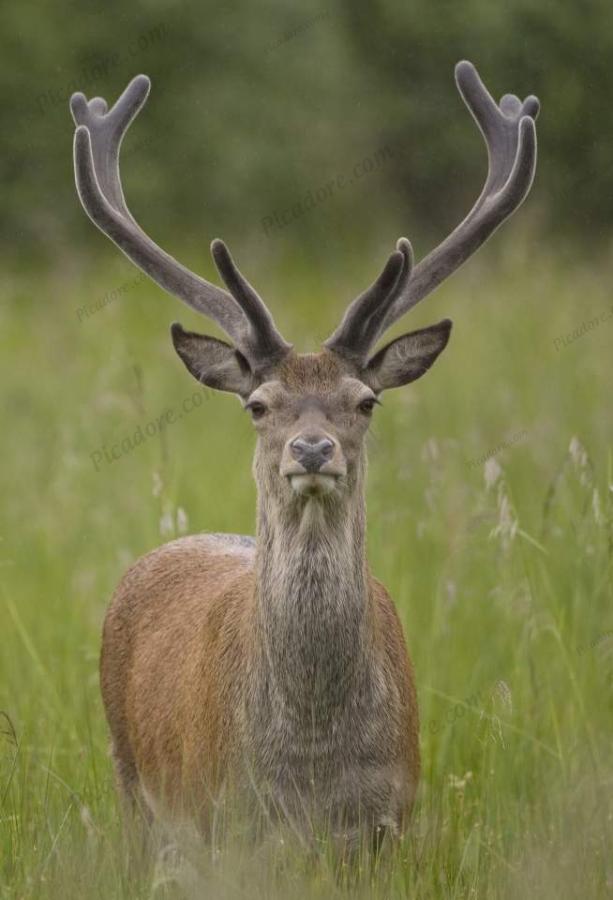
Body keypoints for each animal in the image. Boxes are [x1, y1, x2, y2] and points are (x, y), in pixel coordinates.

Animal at [70, 63, 536, 852]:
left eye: (365, 400)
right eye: (258, 404)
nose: (313, 448)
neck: (312, 771)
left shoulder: (390, 819)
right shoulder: (227, 818)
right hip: (134, 785)